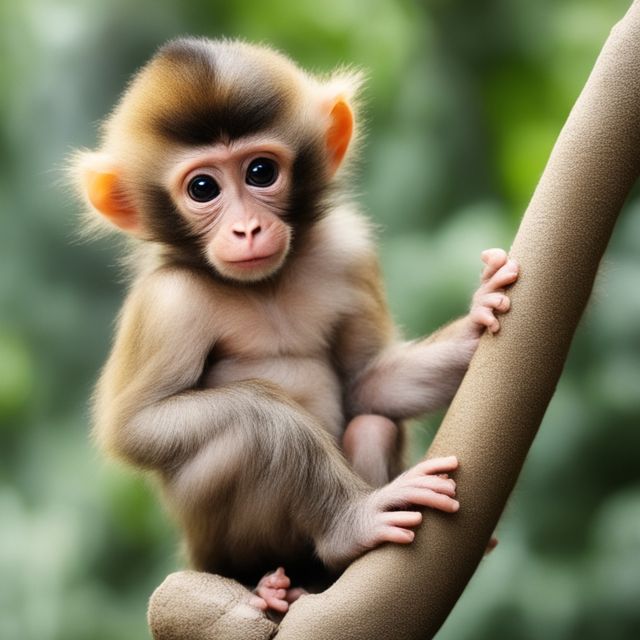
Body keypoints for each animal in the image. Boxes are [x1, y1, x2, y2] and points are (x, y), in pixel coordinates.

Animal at [72, 37, 519, 615]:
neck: (265, 286)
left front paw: (477, 319)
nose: (247, 229)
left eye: (261, 172)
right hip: (212, 547)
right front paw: (280, 427)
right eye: (202, 187)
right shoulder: (168, 304)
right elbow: (136, 428)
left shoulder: (348, 251)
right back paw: (304, 558)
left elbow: (366, 382)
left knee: (372, 423)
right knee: (239, 444)